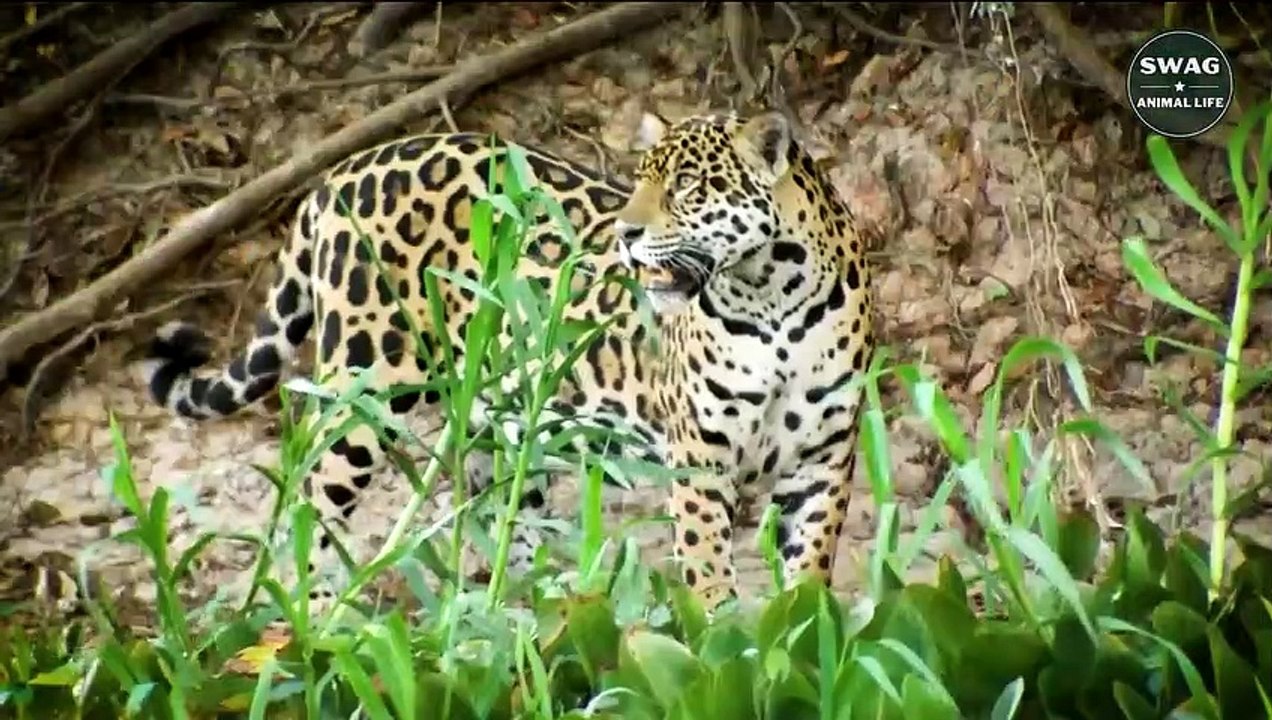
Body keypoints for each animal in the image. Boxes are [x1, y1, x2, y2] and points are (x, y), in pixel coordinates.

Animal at [140, 109, 876, 614]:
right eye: (641, 182)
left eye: (689, 185)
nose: (625, 235)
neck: (772, 300)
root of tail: (336, 175)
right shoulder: (698, 454)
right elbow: (706, 566)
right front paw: (720, 637)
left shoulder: (826, 456)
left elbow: (809, 567)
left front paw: (797, 640)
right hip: (367, 388)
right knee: (308, 495)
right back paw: (317, 623)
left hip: (498, 410)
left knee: (499, 507)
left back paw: (532, 602)